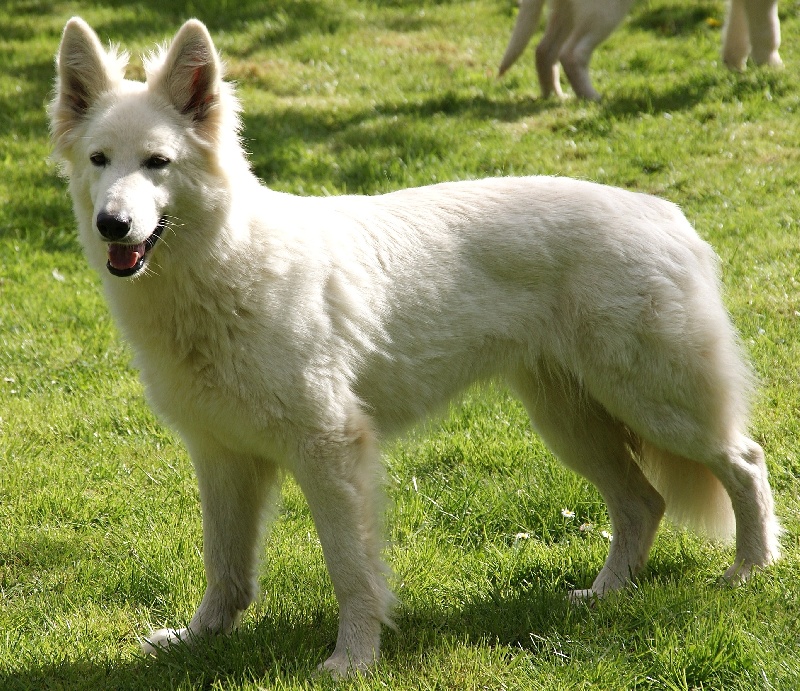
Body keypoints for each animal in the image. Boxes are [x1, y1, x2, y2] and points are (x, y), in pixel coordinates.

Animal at [48, 18, 776, 680]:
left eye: (157, 163)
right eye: (100, 160)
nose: (112, 224)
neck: (224, 266)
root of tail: (666, 215)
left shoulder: (331, 452)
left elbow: (351, 570)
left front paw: (353, 659)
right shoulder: (222, 457)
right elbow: (226, 565)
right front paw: (200, 639)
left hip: (656, 403)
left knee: (744, 461)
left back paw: (750, 569)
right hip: (573, 423)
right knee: (644, 503)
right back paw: (604, 595)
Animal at [500, 0, 780, 100]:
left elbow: (739, 26)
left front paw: (735, 64)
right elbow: (767, 28)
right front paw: (771, 67)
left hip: (567, 10)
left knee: (543, 49)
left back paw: (555, 96)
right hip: (603, 10)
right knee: (572, 53)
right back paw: (592, 97)